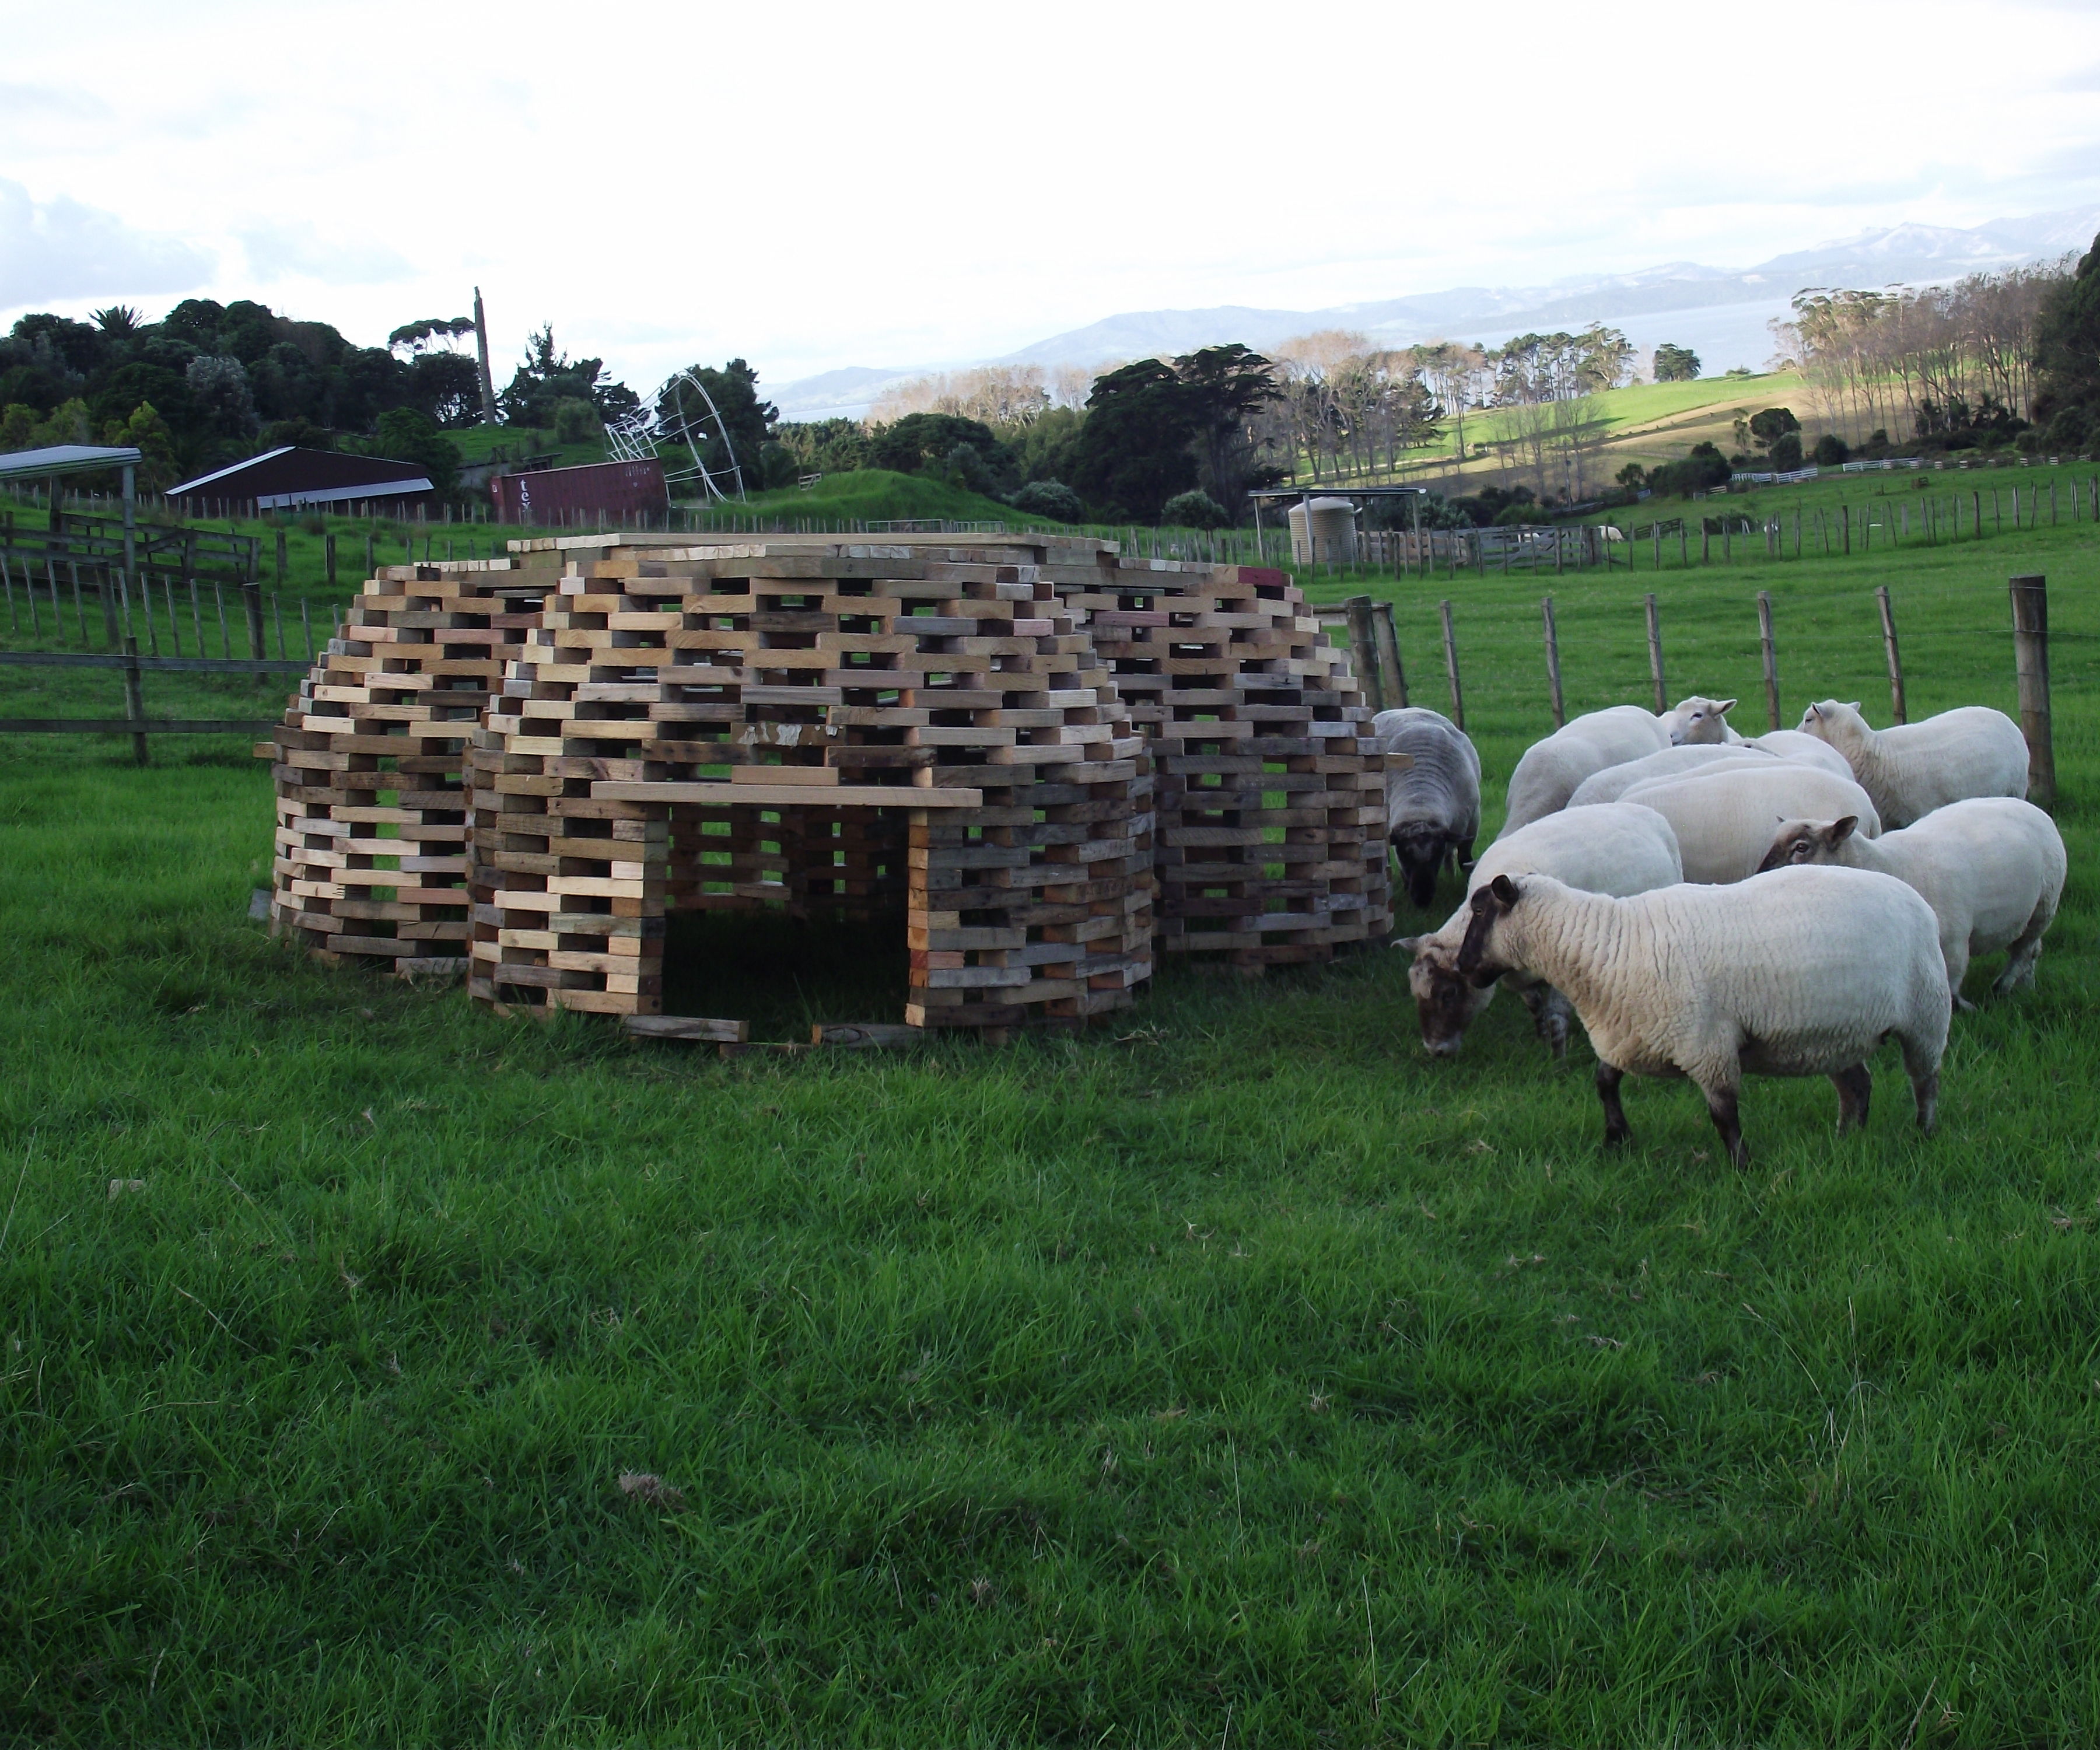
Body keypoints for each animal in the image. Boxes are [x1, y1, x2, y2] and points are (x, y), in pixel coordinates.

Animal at [1396, 802, 1682, 1058]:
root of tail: (1642, 809)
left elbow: (1556, 1016)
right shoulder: (1520, 975)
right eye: (1415, 992)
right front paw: (1542, 1040)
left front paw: (1558, 1061)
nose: (1436, 1050)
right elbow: (1535, 1006)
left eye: (1449, 993)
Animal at [1455, 866, 1949, 1166]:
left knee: (1924, 1081)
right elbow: (1604, 1084)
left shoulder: (1708, 1045)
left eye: (1479, 910)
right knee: (1857, 1088)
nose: (1462, 967)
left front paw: (1741, 1167)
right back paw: (1847, 1140)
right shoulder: (1627, 1036)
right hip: (1837, 1032)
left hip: (1925, 1015)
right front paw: (1616, 1139)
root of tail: (1915, 897)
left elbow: (1724, 1115)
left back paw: (1924, 1133)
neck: (1611, 948)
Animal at [1756, 797, 2066, 1008]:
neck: (1885, 864)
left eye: (1801, 847)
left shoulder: (1953, 945)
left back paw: (2005, 986)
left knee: (2024, 950)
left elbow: (1950, 989)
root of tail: (2028, 806)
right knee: (2032, 950)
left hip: (2045, 906)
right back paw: (2027, 987)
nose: (1758, 876)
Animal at [1796, 699, 2028, 827]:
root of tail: (2004, 718)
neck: (1872, 753)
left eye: (1809, 719)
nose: (1792, 733)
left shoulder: (1921, 810)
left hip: (2016, 789)